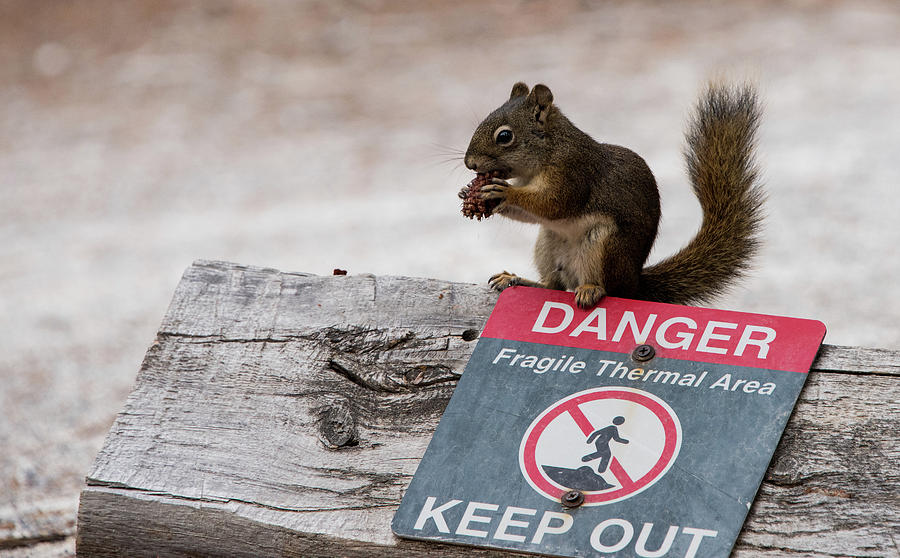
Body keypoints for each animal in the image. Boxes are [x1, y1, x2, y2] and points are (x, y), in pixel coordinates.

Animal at [460, 82, 764, 310]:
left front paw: (504, 191)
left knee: (608, 288)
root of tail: (634, 282)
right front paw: (473, 193)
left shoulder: (573, 172)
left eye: (505, 136)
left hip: (605, 246)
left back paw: (591, 290)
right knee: (554, 285)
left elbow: (554, 204)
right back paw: (519, 280)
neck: (550, 148)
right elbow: (533, 215)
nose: (470, 164)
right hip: (548, 243)